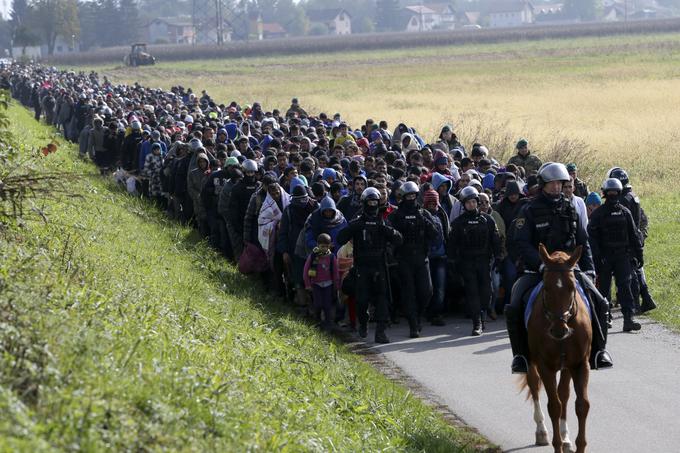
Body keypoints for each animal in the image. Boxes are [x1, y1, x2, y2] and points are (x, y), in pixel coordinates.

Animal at [524, 244, 592, 452]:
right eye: (546, 287)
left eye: (572, 287)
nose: (559, 329)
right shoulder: (545, 366)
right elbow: (554, 406)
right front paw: (557, 444)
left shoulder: (579, 364)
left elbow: (581, 405)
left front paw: (577, 444)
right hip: (531, 362)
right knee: (534, 386)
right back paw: (542, 432)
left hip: (567, 367)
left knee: (564, 394)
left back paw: (566, 437)